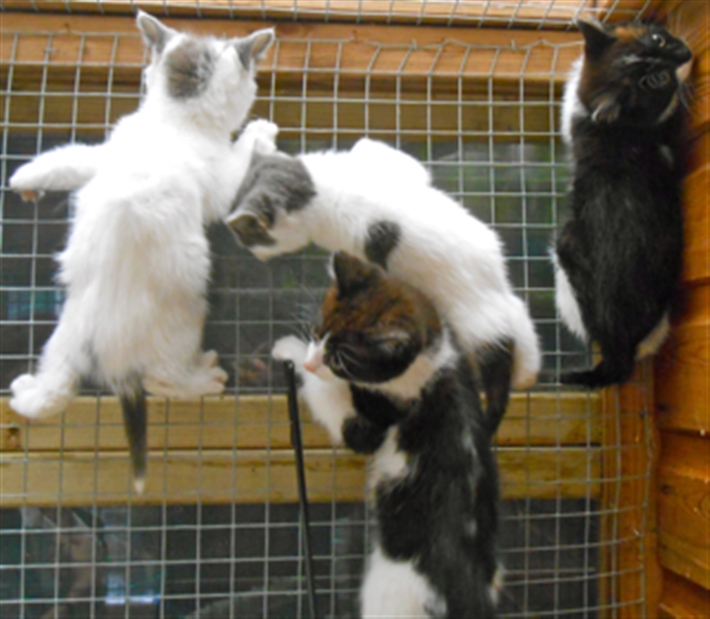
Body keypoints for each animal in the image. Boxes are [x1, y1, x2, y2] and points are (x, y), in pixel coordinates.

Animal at [10, 12, 280, 492]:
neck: (172, 124)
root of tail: (105, 358)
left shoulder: (103, 154)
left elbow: (66, 158)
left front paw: (25, 179)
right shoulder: (224, 181)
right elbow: (245, 152)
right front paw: (261, 130)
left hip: (62, 337)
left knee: (54, 391)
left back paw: (27, 392)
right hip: (187, 316)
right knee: (160, 380)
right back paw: (203, 378)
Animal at [231, 138, 544, 434]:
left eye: (250, 239)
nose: (254, 255)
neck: (321, 188)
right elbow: (388, 155)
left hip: (475, 321)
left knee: (497, 358)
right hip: (505, 302)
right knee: (520, 320)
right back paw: (527, 373)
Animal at [272, 252, 500, 619]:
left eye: (339, 361)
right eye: (317, 332)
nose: (309, 363)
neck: (430, 357)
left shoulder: (375, 420)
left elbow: (333, 397)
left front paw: (288, 350)